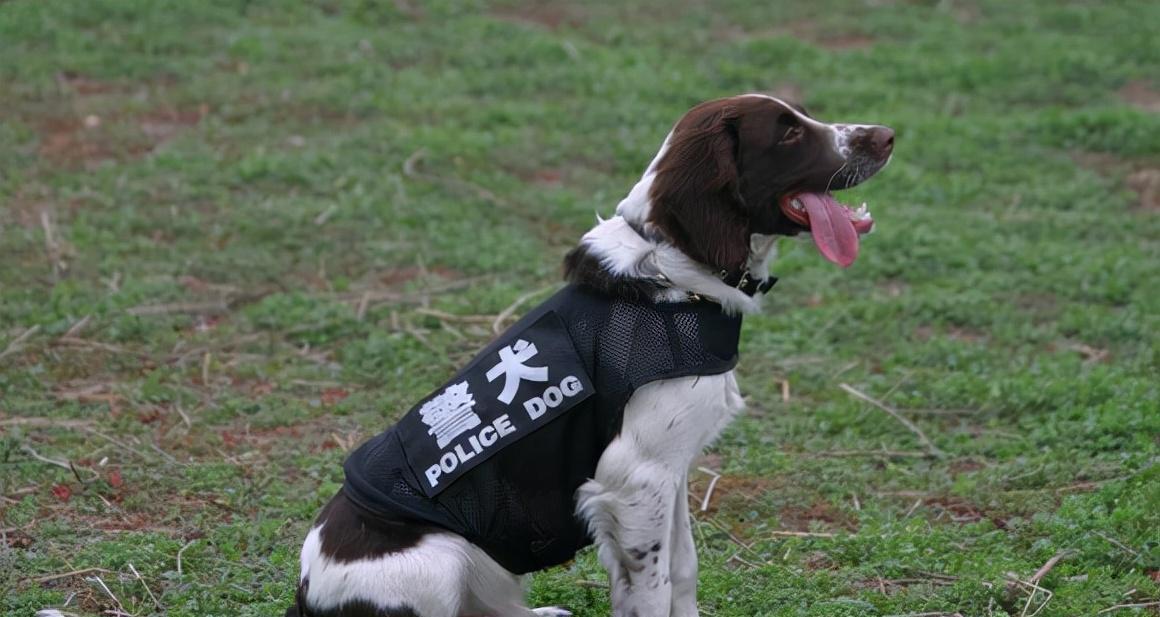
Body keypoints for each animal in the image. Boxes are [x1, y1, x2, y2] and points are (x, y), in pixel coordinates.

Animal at [292, 92, 895, 617]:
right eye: (788, 132)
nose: (888, 135)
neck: (675, 275)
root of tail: (303, 596)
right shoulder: (636, 480)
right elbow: (652, 590)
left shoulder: (671, 470)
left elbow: (684, 570)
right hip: (441, 557)